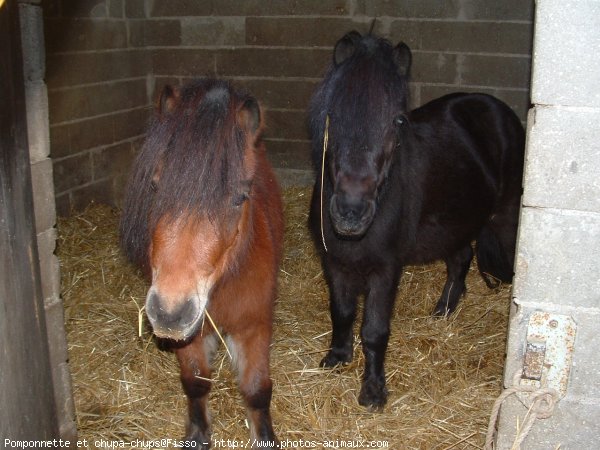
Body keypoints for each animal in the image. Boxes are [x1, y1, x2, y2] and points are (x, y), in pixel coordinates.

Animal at [120, 79, 284, 448]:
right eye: (155, 186)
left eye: (240, 197)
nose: (169, 313)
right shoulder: (190, 336)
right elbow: (196, 382)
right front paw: (197, 435)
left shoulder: (254, 325)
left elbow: (256, 389)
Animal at [310, 31, 524, 410]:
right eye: (332, 114)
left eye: (397, 121)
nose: (350, 212)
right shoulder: (335, 262)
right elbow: (342, 312)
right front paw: (336, 357)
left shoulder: (386, 269)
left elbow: (374, 331)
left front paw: (373, 392)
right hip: (454, 224)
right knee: (460, 259)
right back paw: (443, 311)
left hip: (505, 219)